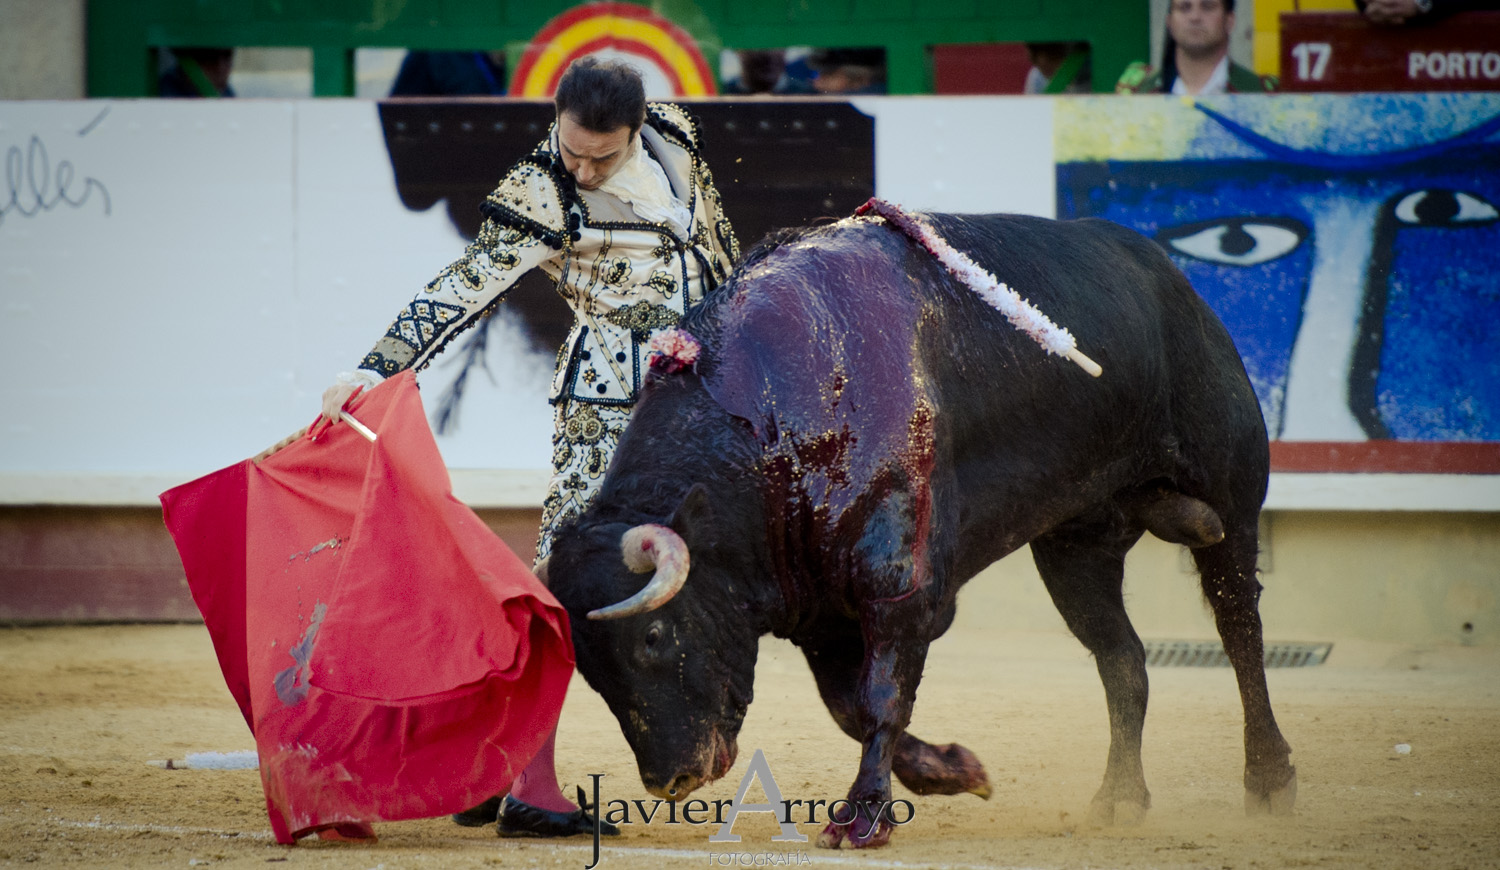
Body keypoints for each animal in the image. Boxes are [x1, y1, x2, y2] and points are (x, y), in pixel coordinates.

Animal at [544, 209, 1298, 849]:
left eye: (653, 635)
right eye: (588, 667)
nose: (671, 780)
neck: (769, 427)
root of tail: (1173, 280)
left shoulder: (898, 590)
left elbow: (879, 699)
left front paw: (863, 819)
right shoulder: (823, 611)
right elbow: (851, 708)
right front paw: (958, 771)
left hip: (1230, 501)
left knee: (1240, 629)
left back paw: (1269, 779)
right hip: (1073, 548)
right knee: (1124, 662)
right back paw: (1118, 799)